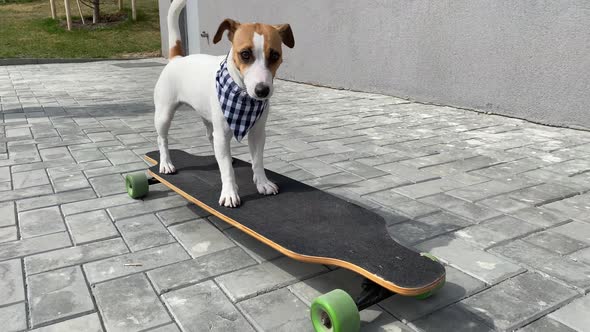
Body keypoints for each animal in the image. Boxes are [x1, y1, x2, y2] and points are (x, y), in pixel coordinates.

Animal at [154, 0, 294, 208]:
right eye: (245, 54)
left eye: (275, 55)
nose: (262, 91)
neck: (243, 97)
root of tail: (177, 58)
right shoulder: (224, 132)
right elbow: (226, 170)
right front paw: (229, 192)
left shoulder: (258, 133)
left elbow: (257, 161)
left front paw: (262, 182)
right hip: (164, 114)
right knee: (162, 139)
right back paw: (165, 163)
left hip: (208, 117)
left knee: (211, 136)